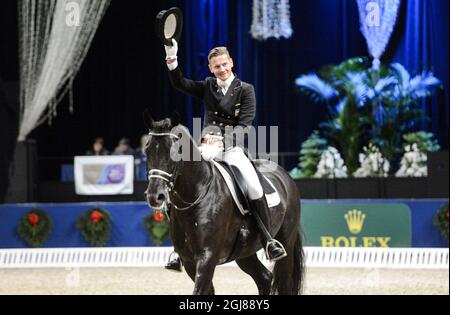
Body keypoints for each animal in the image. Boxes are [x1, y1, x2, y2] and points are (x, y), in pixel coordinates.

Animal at [144, 115, 306, 296]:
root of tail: (285, 175)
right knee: (264, 278)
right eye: (147, 150)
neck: (197, 195)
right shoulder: (189, 261)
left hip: (286, 242)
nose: (155, 196)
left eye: (175, 151)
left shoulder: (207, 257)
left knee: (283, 281)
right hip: (244, 253)